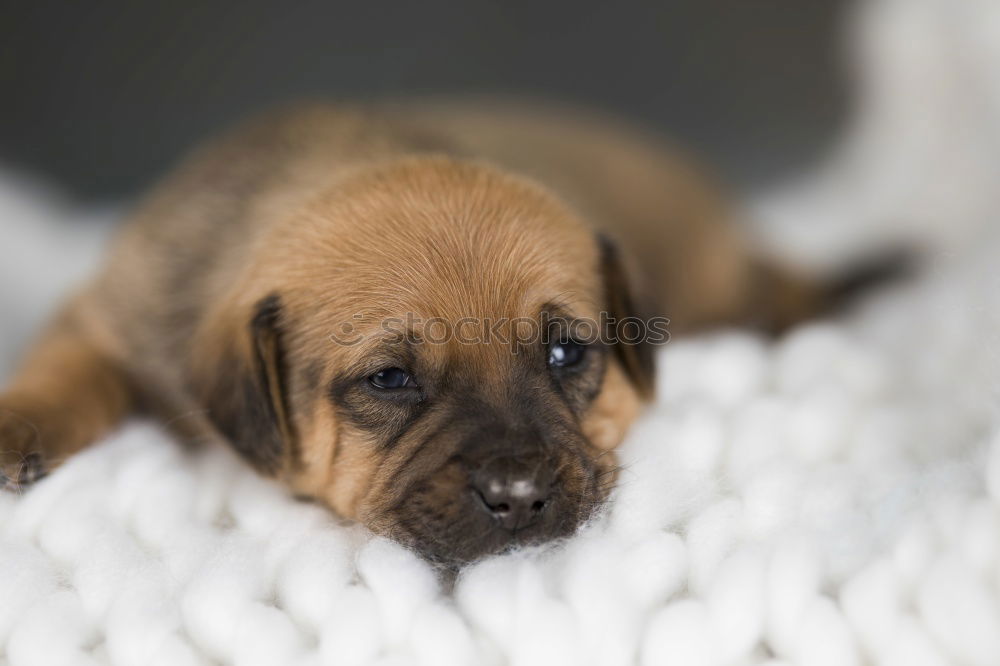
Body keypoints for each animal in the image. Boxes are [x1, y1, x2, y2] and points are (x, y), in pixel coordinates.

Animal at [0, 101, 820, 564]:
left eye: (566, 352)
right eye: (390, 379)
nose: (520, 497)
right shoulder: (107, 309)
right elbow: (66, 366)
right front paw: (18, 422)